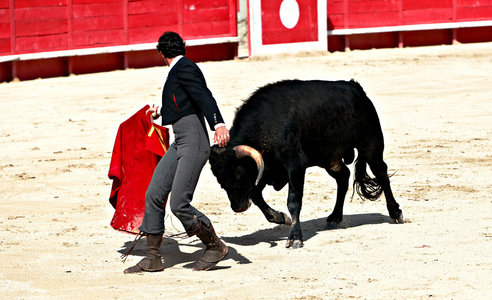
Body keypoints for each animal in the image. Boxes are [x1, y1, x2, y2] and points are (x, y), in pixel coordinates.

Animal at [209, 79, 404, 248]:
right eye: (220, 180)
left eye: (238, 173)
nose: (238, 207)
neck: (265, 128)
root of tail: (355, 88)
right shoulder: (264, 171)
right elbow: (256, 196)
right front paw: (281, 218)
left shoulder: (295, 167)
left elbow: (293, 201)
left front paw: (295, 237)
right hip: (330, 158)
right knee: (343, 177)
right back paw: (334, 217)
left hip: (371, 145)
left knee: (381, 173)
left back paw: (395, 213)